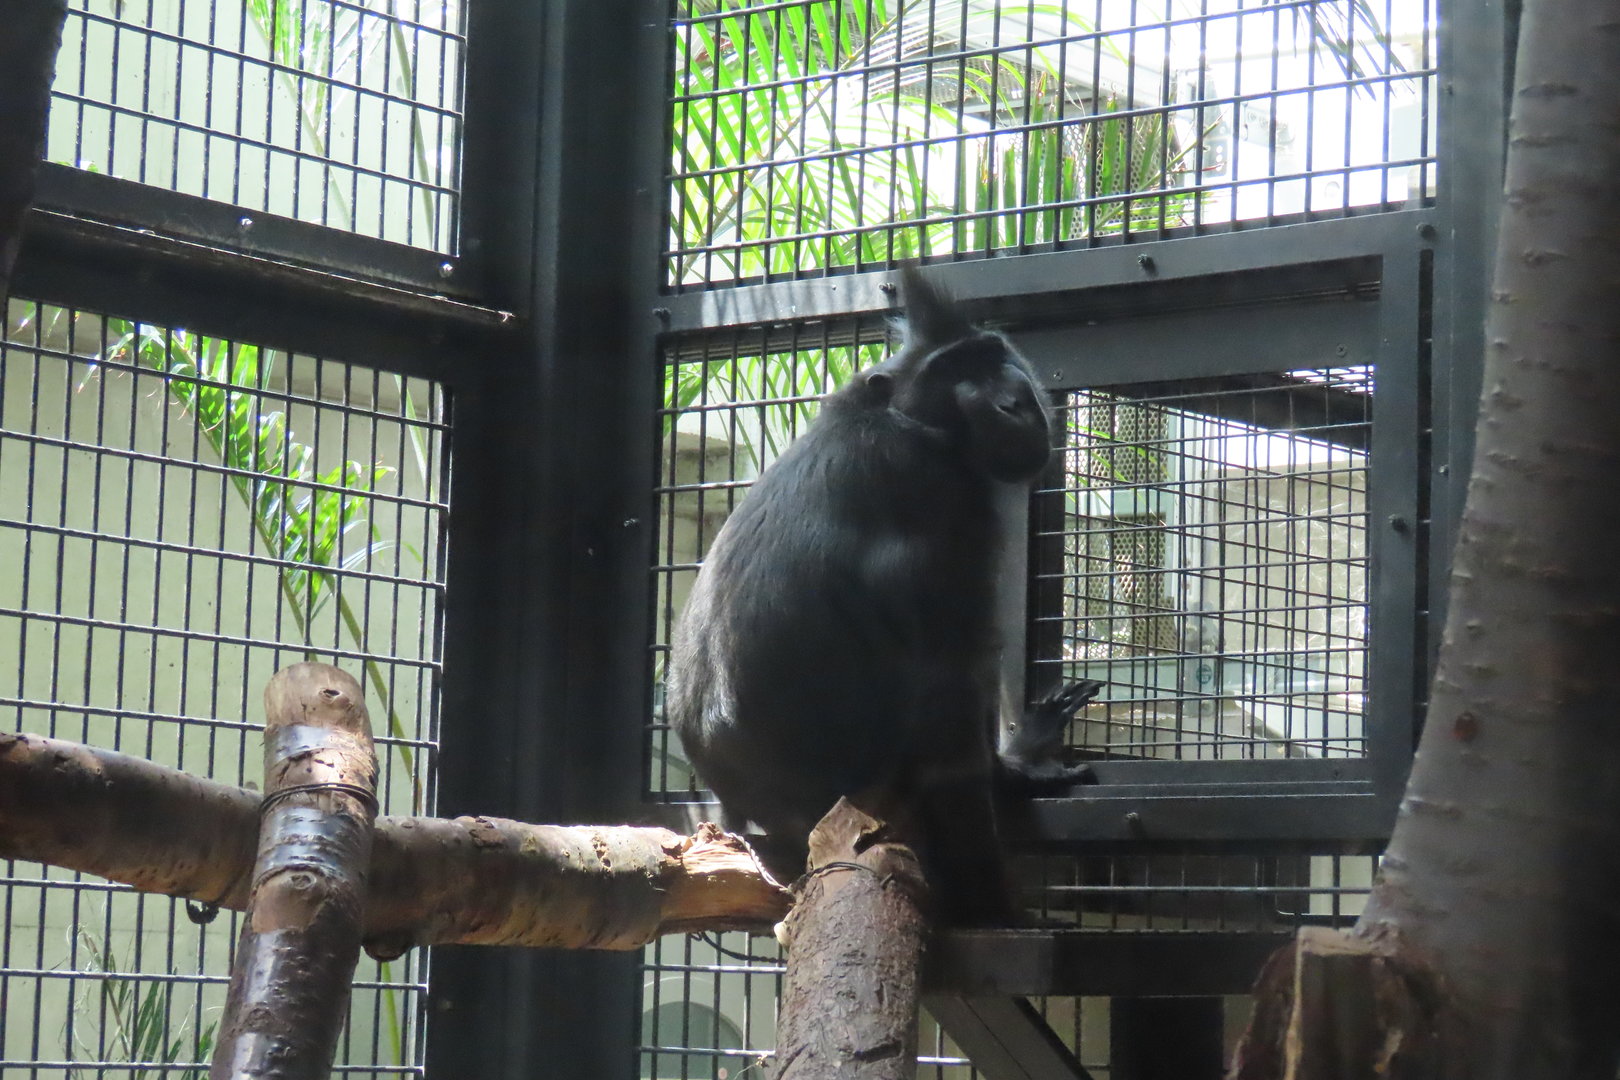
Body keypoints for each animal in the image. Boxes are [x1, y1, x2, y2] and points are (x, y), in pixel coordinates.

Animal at [666, 266, 1098, 922]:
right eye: (955, 372)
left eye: (991, 359)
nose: (1015, 402)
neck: (899, 416)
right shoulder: (943, 501)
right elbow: (946, 716)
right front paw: (990, 907)